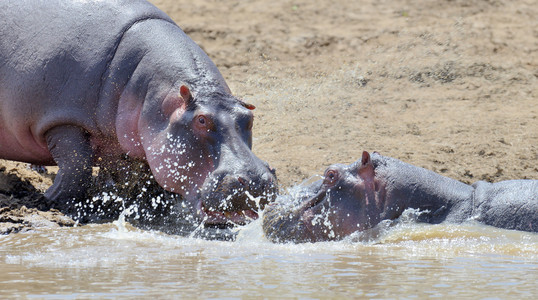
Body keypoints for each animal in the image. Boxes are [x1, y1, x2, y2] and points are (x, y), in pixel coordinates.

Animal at [0, 0, 274, 225]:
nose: (256, 180)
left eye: (249, 118)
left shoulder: (128, 145)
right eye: (201, 120)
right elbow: (78, 165)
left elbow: (134, 179)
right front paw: (50, 199)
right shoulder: (63, 120)